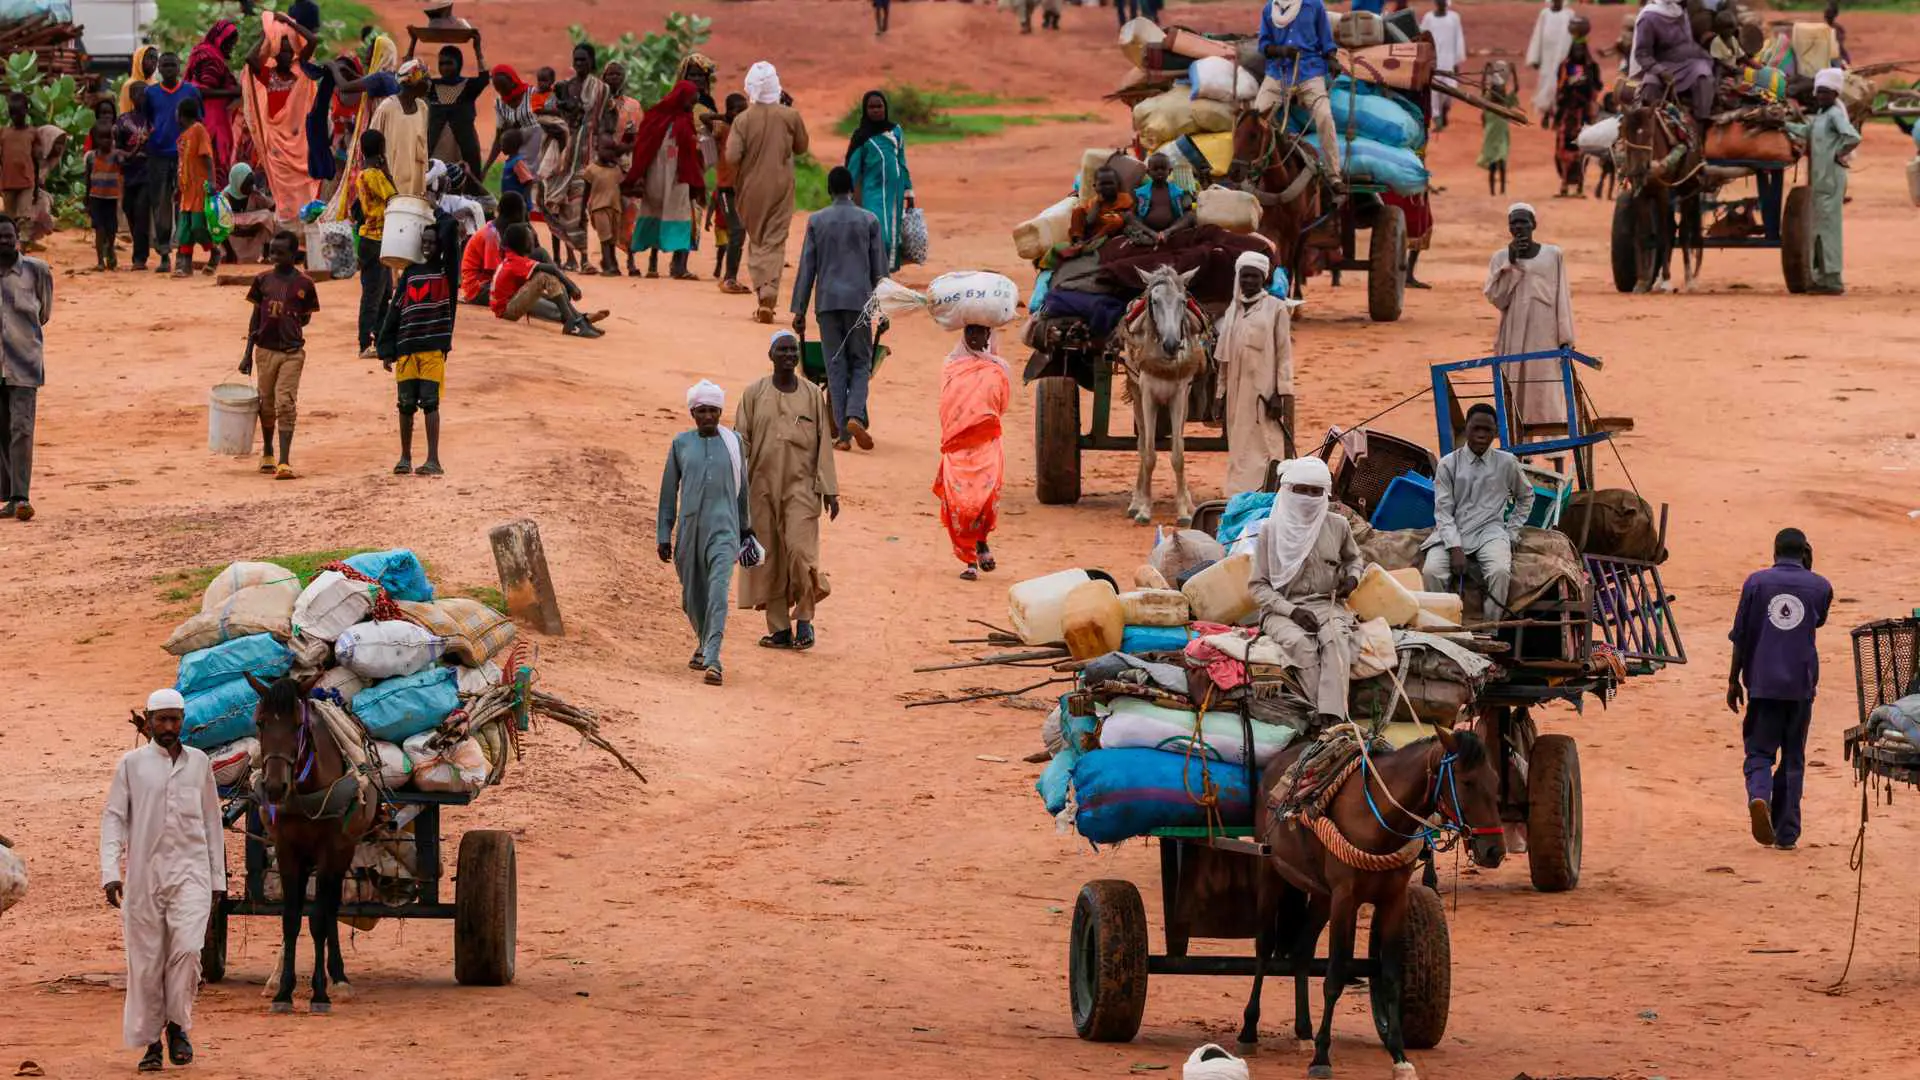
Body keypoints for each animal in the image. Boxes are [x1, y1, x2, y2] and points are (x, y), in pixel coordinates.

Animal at [243, 668, 378, 1014]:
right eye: (259, 722)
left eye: (297, 725)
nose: (274, 787)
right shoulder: (287, 849)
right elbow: (291, 919)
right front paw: (283, 993)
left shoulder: (331, 849)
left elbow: (318, 918)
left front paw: (320, 993)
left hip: (344, 850)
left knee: (329, 908)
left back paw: (338, 979)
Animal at [1236, 722, 1505, 1076]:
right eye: (1467, 781)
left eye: (1496, 780)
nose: (1494, 851)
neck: (1379, 818)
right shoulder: (1345, 900)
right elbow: (1335, 976)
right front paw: (1322, 1057)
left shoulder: (1393, 900)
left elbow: (1389, 977)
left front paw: (1399, 1055)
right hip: (1271, 873)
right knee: (1264, 949)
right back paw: (1249, 1030)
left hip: (1321, 896)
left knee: (1302, 952)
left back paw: (1304, 1031)